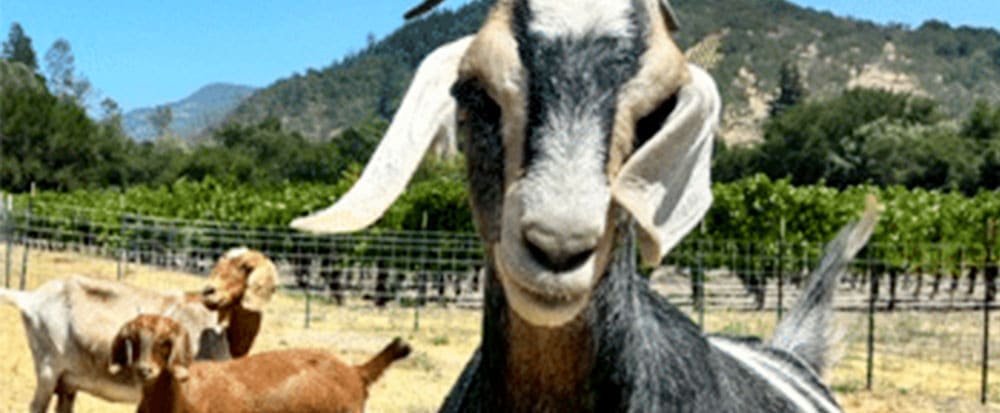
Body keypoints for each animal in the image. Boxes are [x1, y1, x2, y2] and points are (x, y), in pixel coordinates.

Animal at [0, 247, 278, 413]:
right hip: (48, 365)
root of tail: (31, 298)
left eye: (245, 267)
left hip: (69, 378)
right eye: (219, 264)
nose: (209, 292)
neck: (223, 335)